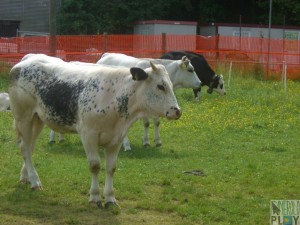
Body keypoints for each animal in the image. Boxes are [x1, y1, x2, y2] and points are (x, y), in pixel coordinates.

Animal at [9, 53, 182, 208]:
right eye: (160, 86)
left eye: (171, 85)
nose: (177, 111)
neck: (114, 97)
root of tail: (25, 61)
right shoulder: (88, 135)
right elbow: (95, 166)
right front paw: (95, 197)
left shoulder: (117, 138)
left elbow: (111, 168)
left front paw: (110, 198)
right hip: (23, 117)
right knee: (25, 148)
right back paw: (34, 181)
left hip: (38, 119)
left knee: (29, 147)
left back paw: (26, 177)